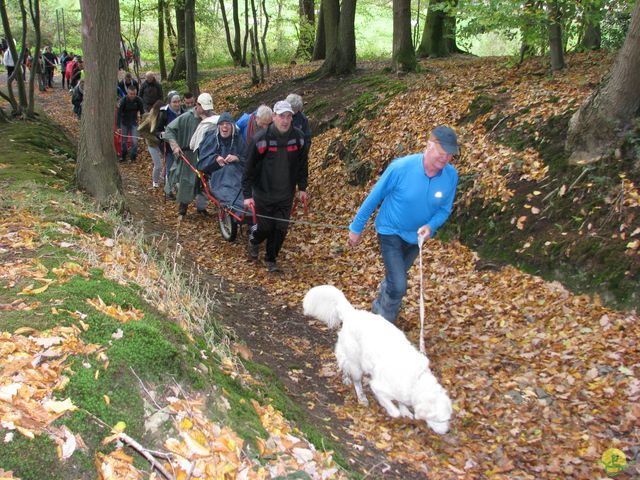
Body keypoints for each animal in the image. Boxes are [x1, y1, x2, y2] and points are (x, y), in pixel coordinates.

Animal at [302, 284, 452, 436]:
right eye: (439, 420)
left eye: (447, 419)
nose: (447, 431)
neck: (417, 380)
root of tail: (353, 314)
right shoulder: (379, 387)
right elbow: (392, 406)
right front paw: (394, 412)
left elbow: (402, 402)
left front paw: (405, 411)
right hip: (356, 364)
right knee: (354, 378)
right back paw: (360, 394)